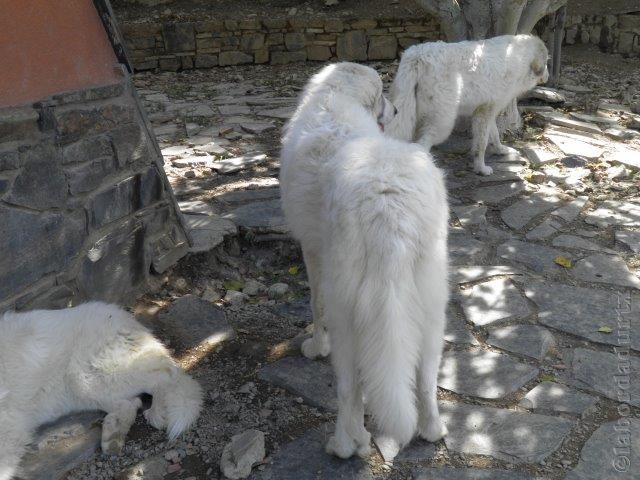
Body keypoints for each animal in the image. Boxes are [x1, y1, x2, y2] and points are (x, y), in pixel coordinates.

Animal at [0, 302, 202, 478]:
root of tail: (133, 324)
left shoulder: (9, 424)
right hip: (88, 388)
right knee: (131, 402)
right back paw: (114, 433)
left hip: (92, 376)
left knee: (166, 376)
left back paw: (156, 413)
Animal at [280, 62, 450, 460]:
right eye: (383, 96)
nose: (396, 110)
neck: (335, 97)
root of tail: (388, 205)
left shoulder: (312, 253)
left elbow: (315, 305)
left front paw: (315, 347)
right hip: (432, 303)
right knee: (425, 378)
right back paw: (432, 429)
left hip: (348, 312)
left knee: (350, 389)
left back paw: (346, 443)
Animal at [388, 34, 548, 176]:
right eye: (547, 62)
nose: (547, 76)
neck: (519, 57)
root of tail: (417, 55)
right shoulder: (485, 112)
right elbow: (481, 144)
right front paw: (481, 169)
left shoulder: (486, 111)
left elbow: (494, 134)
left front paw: (501, 150)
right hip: (442, 123)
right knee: (421, 145)